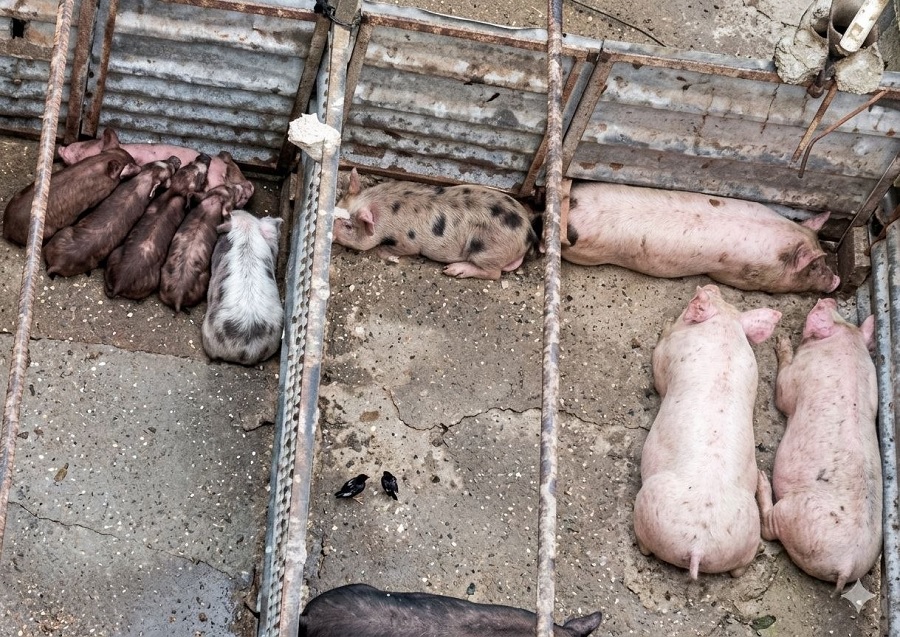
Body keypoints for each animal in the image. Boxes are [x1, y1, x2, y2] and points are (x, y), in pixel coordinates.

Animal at [104, 155, 210, 300]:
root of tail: (120, 282)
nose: (206, 156)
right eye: (201, 178)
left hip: (114, 255)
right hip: (153, 281)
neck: (174, 190)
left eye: (189, 163)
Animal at [333, 168, 537, 280]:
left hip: (487, 250)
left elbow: (401, 250)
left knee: (494, 273)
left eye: (348, 226)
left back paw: (452, 270)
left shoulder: (408, 241)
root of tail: (527, 237)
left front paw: (385, 253)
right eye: (337, 206)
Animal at [633, 284, 781, 578]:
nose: (710, 286)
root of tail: (698, 547)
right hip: (746, 532)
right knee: (739, 569)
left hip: (648, 504)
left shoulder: (665, 356)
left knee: (644, 543)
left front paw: (664, 326)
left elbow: (658, 368)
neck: (724, 329)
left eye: (691, 302)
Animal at [756, 299, 881, 591]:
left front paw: (781, 340)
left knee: (769, 527)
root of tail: (847, 563)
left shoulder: (796, 376)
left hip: (794, 513)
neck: (850, 348)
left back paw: (761, 479)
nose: (827, 300)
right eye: (842, 318)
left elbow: (782, 394)